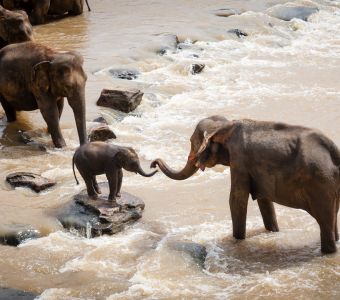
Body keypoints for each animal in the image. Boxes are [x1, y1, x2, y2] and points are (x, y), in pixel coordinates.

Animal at [152, 115, 340, 253]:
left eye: (192, 143)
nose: (153, 163)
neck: (226, 125)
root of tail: (334, 151)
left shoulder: (239, 160)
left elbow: (236, 199)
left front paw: (237, 241)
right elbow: (265, 201)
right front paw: (273, 231)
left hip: (321, 184)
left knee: (325, 221)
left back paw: (328, 251)